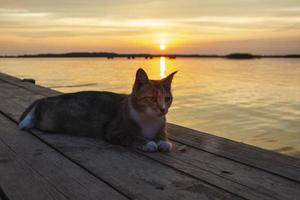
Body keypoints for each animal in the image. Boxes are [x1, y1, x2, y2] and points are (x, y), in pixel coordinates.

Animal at [18, 68, 177, 152]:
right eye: (152, 98)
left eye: (167, 98)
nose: (163, 109)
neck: (149, 120)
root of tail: (44, 99)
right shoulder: (114, 131)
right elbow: (132, 136)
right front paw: (148, 143)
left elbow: (164, 138)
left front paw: (163, 141)